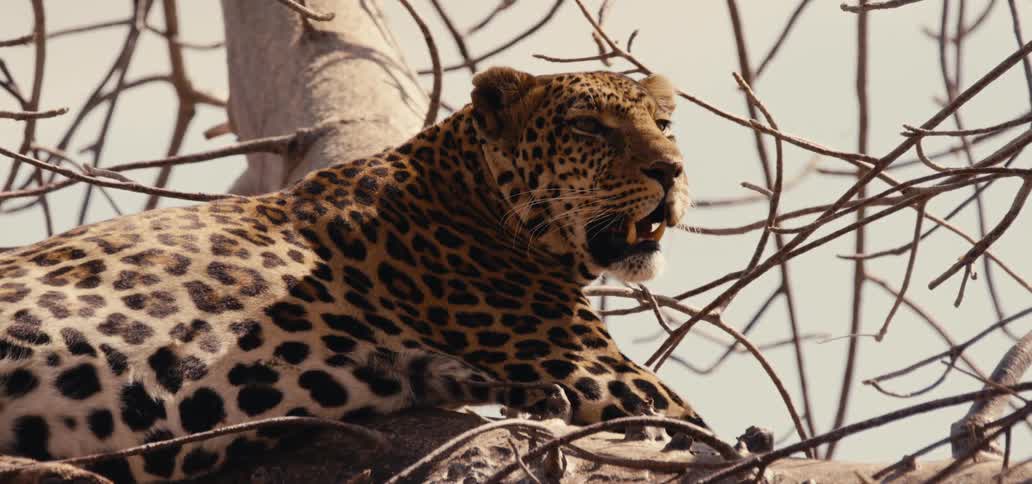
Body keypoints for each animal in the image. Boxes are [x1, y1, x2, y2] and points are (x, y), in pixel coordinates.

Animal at [0, 67, 701, 482]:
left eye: (665, 125)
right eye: (588, 127)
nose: (670, 169)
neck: (468, 188)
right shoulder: (601, 369)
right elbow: (697, 428)